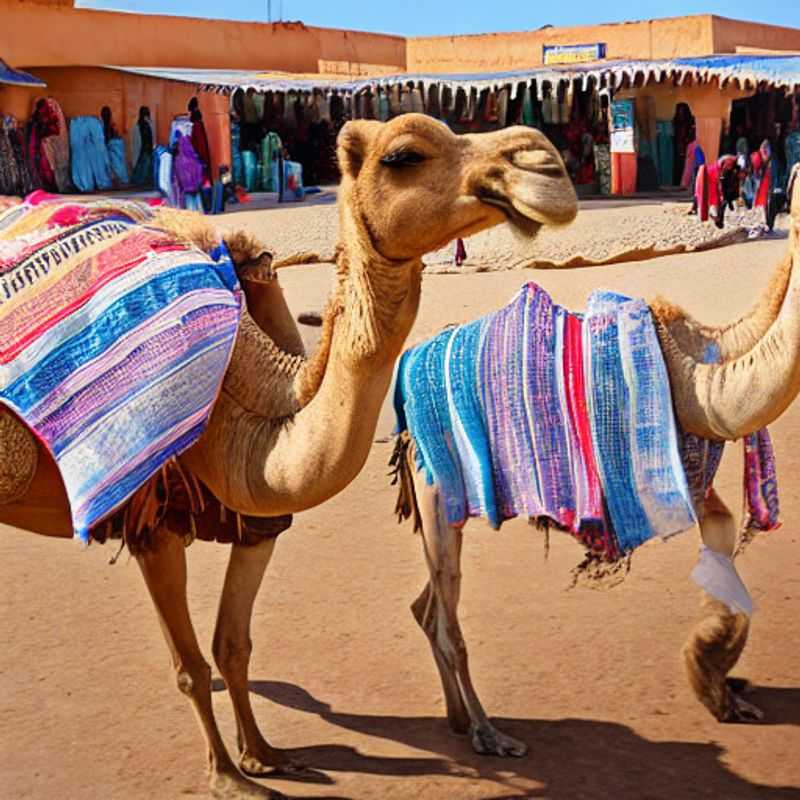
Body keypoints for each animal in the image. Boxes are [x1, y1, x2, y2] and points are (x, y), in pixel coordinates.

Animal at [0, 114, 577, 799]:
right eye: (404, 155)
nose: (546, 165)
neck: (245, 387)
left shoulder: (259, 519)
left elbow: (232, 644)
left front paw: (263, 756)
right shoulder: (152, 518)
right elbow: (189, 665)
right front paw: (229, 777)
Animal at [392, 174, 800, 759]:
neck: (702, 376)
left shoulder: (695, 481)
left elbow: (725, 554)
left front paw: (721, 691)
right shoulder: (664, 478)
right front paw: (715, 680)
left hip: (442, 509)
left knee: (427, 606)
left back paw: (457, 720)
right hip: (436, 488)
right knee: (446, 617)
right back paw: (489, 733)